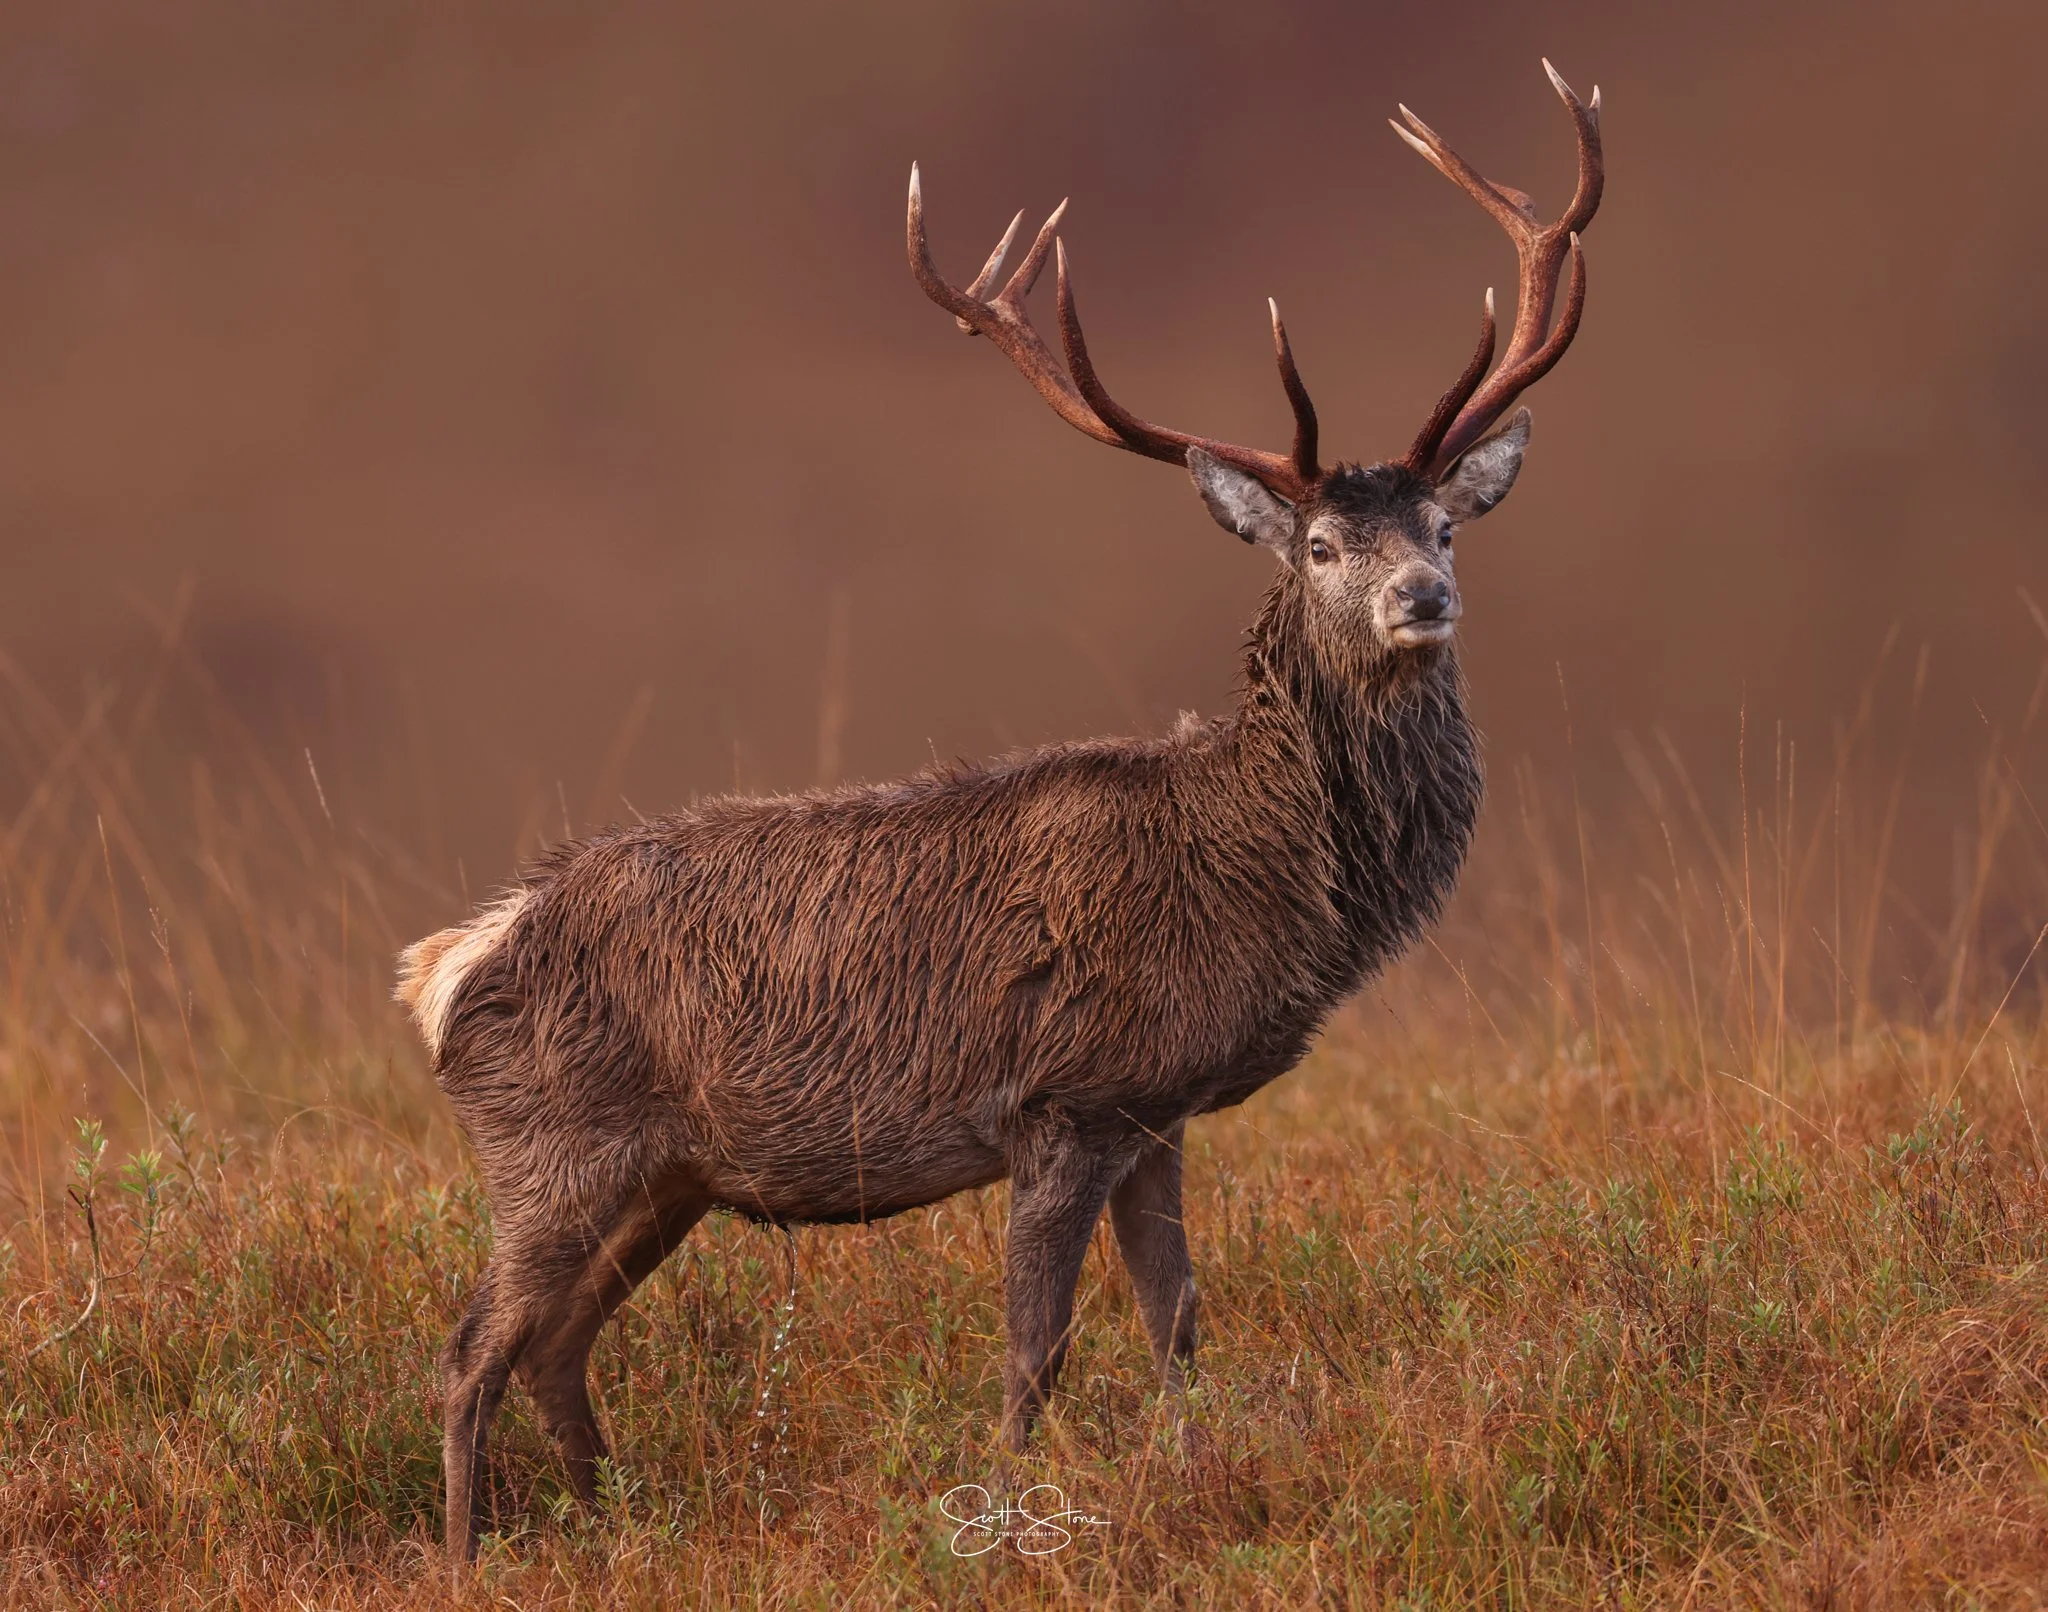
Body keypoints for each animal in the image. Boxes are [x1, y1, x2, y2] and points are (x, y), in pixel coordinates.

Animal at [398, 60, 1602, 1564]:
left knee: (554, 1349)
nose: (1423, 599)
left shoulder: (1155, 1109)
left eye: (1444, 526)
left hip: (660, 1173)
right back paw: (464, 1555)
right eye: (1323, 545)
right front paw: (1011, 1513)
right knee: (467, 1356)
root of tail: (448, 968)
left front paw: (1192, 1472)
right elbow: (1039, 1347)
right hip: (552, 1147)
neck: (1252, 875)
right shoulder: (1061, 1097)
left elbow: (1177, 1326)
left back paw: (612, 1528)